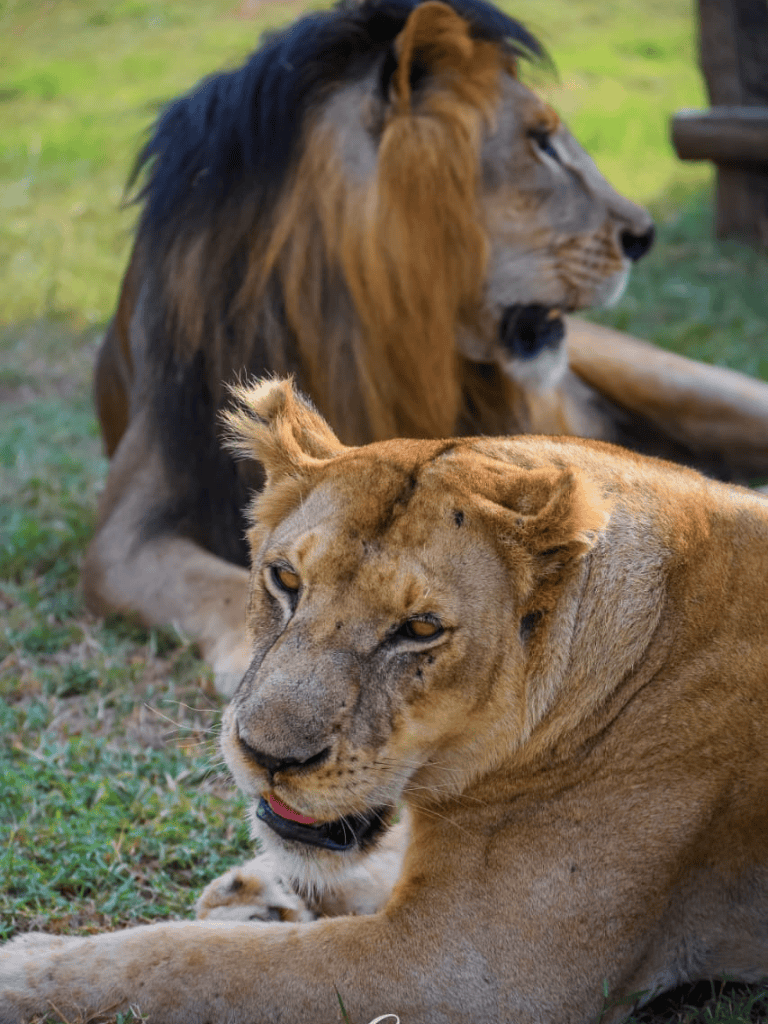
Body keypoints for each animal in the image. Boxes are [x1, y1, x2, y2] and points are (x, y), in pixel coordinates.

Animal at [4, 376, 768, 1024]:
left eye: (420, 630)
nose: (268, 757)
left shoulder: (471, 975)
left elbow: (190, 962)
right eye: (285, 580)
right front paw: (264, 895)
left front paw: (27, 968)